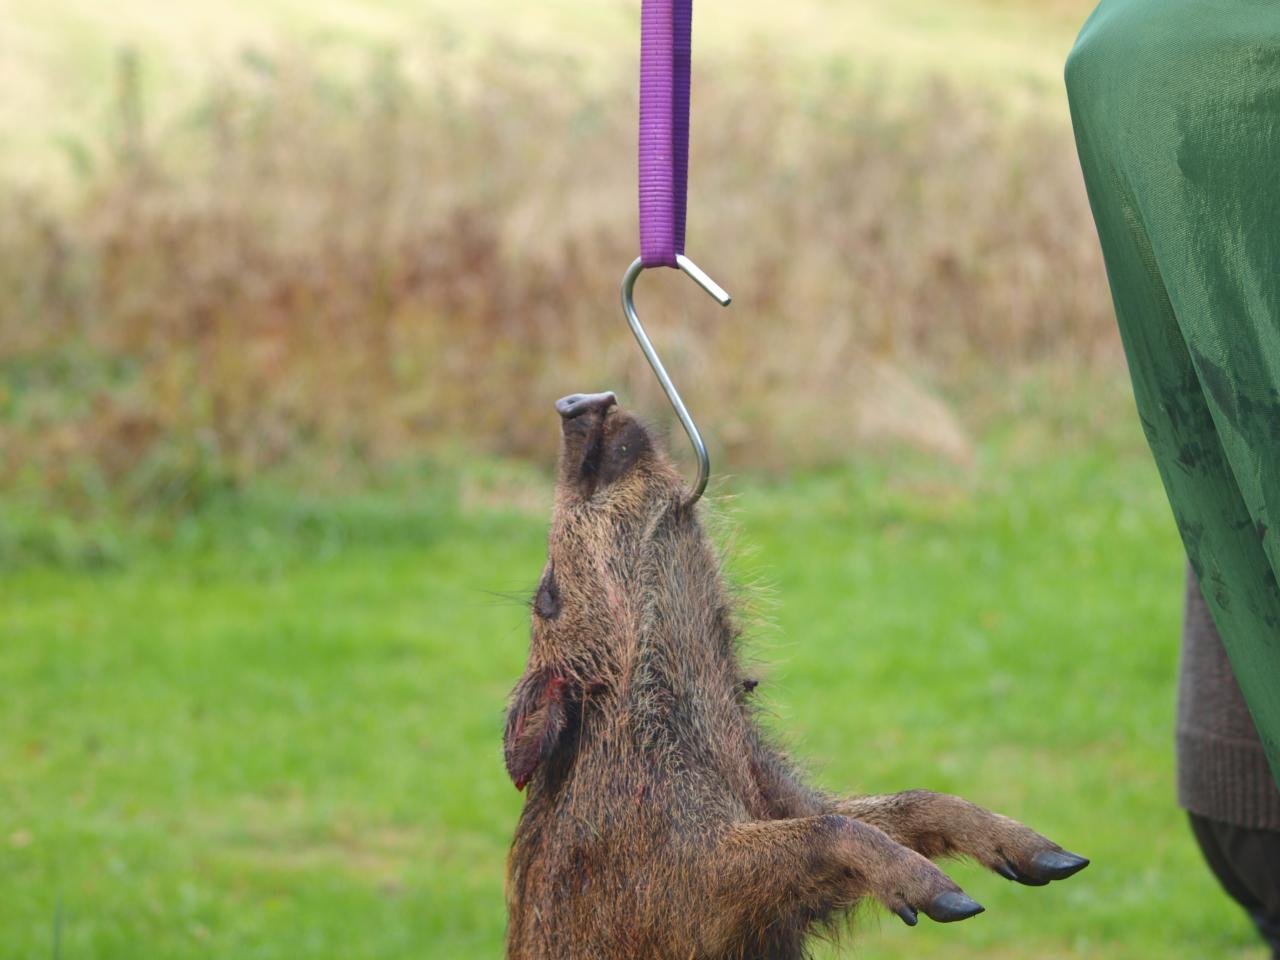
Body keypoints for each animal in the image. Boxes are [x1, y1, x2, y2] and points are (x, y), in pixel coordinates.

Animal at [503, 391, 1087, 959]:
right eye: (547, 596)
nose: (577, 401)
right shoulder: (678, 884)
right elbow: (828, 829)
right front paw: (954, 900)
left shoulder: (785, 798)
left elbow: (911, 801)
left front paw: (1058, 859)